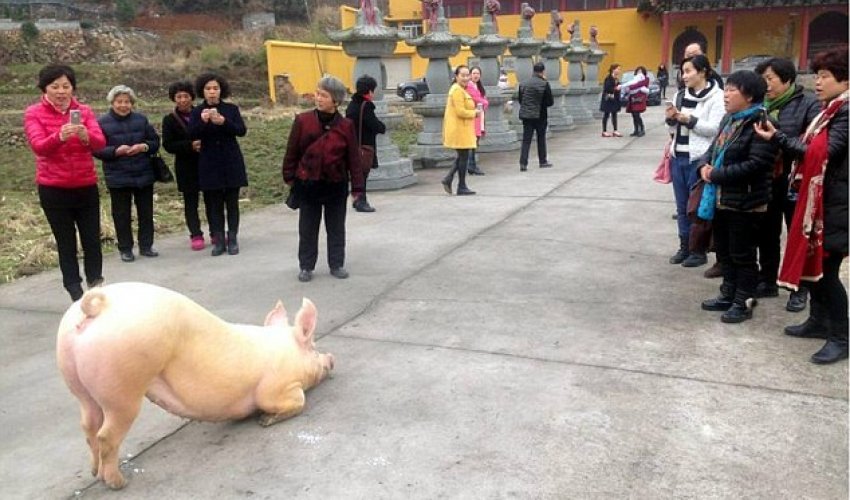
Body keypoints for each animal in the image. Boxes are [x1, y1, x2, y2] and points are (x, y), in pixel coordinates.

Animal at [55, 284, 334, 490]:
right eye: (313, 347)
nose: (331, 358)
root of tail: (99, 307)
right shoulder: (276, 387)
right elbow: (296, 401)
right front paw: (265, 420)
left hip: (78, 383)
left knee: (89, 425)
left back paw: (95, 473)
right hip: (123, 389)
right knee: (106, 435)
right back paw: (118, 483)